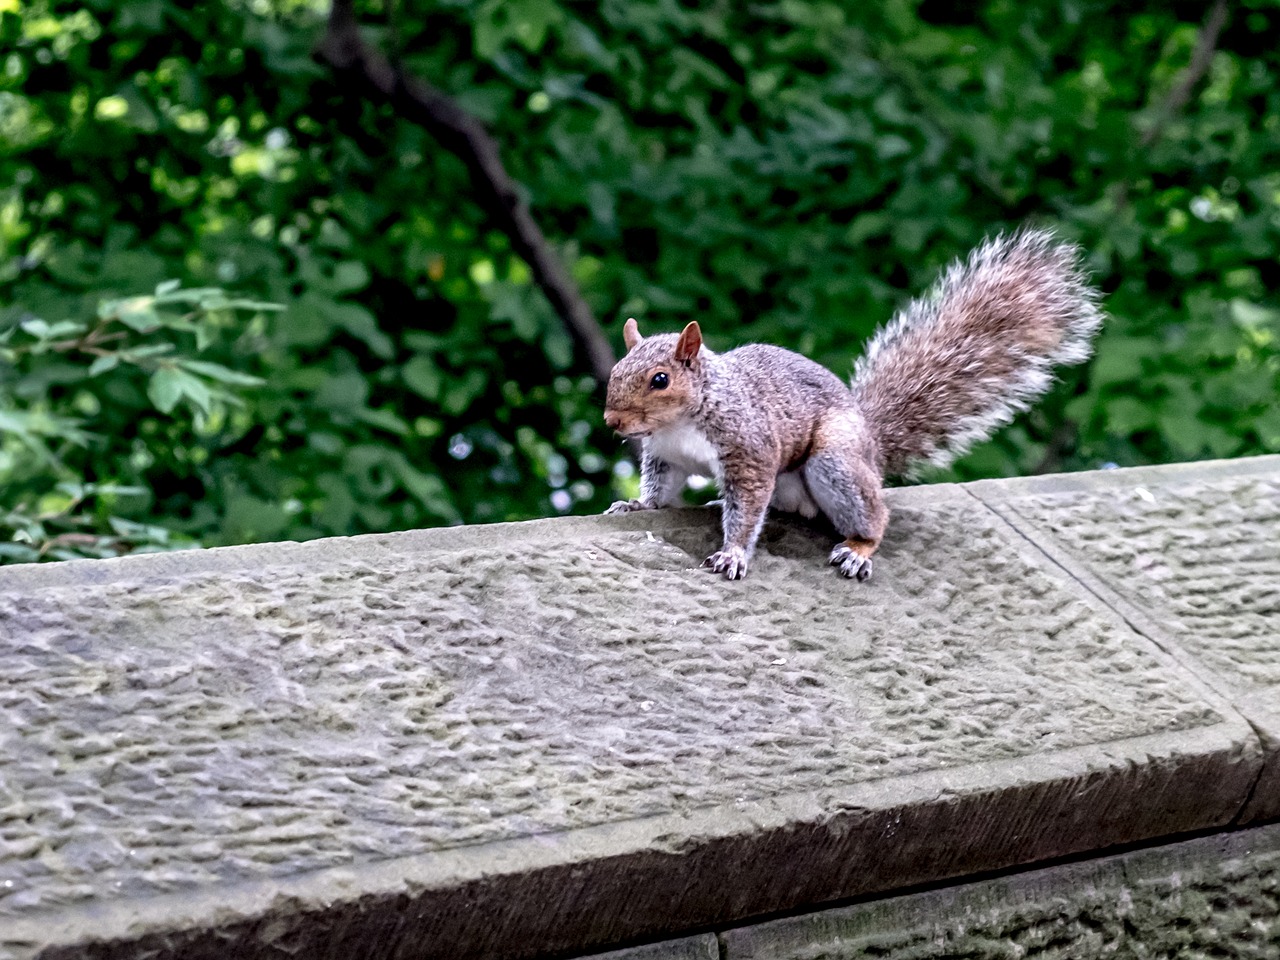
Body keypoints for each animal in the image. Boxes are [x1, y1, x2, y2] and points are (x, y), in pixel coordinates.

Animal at [604, 229, 1105, 583]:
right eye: (615, 369)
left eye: (660, 379)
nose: (612, 420)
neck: (680, 423)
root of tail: (873, 448)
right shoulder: (665, 456)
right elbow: (660, 489)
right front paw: (635, 505)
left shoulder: (750, 449)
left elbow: (747, 509)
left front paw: (733, 554)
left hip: (835, 461)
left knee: (874, 515)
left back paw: (858, 550)